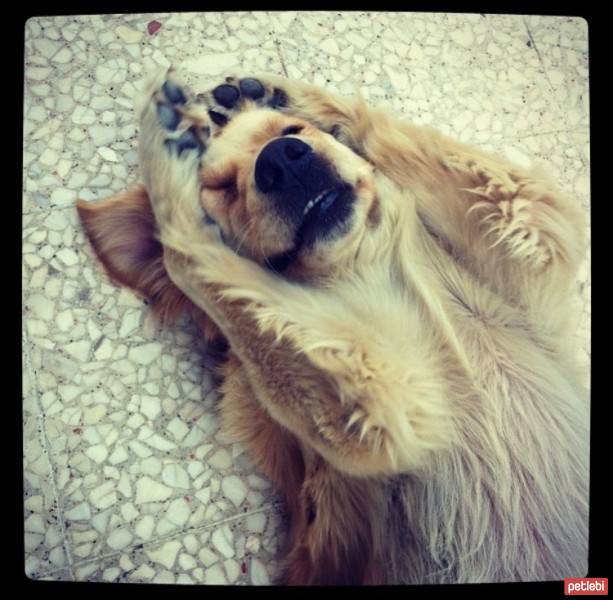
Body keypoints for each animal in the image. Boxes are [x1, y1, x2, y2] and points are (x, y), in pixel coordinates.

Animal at [75, 71, 588, 584]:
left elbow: (395, 139)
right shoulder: (384, 407)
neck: (368, 269)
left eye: (293, 131)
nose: (282, 159)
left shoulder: (536, 229)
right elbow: (185, 252)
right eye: (220, 187)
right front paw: (163, 150)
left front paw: (280, 96)